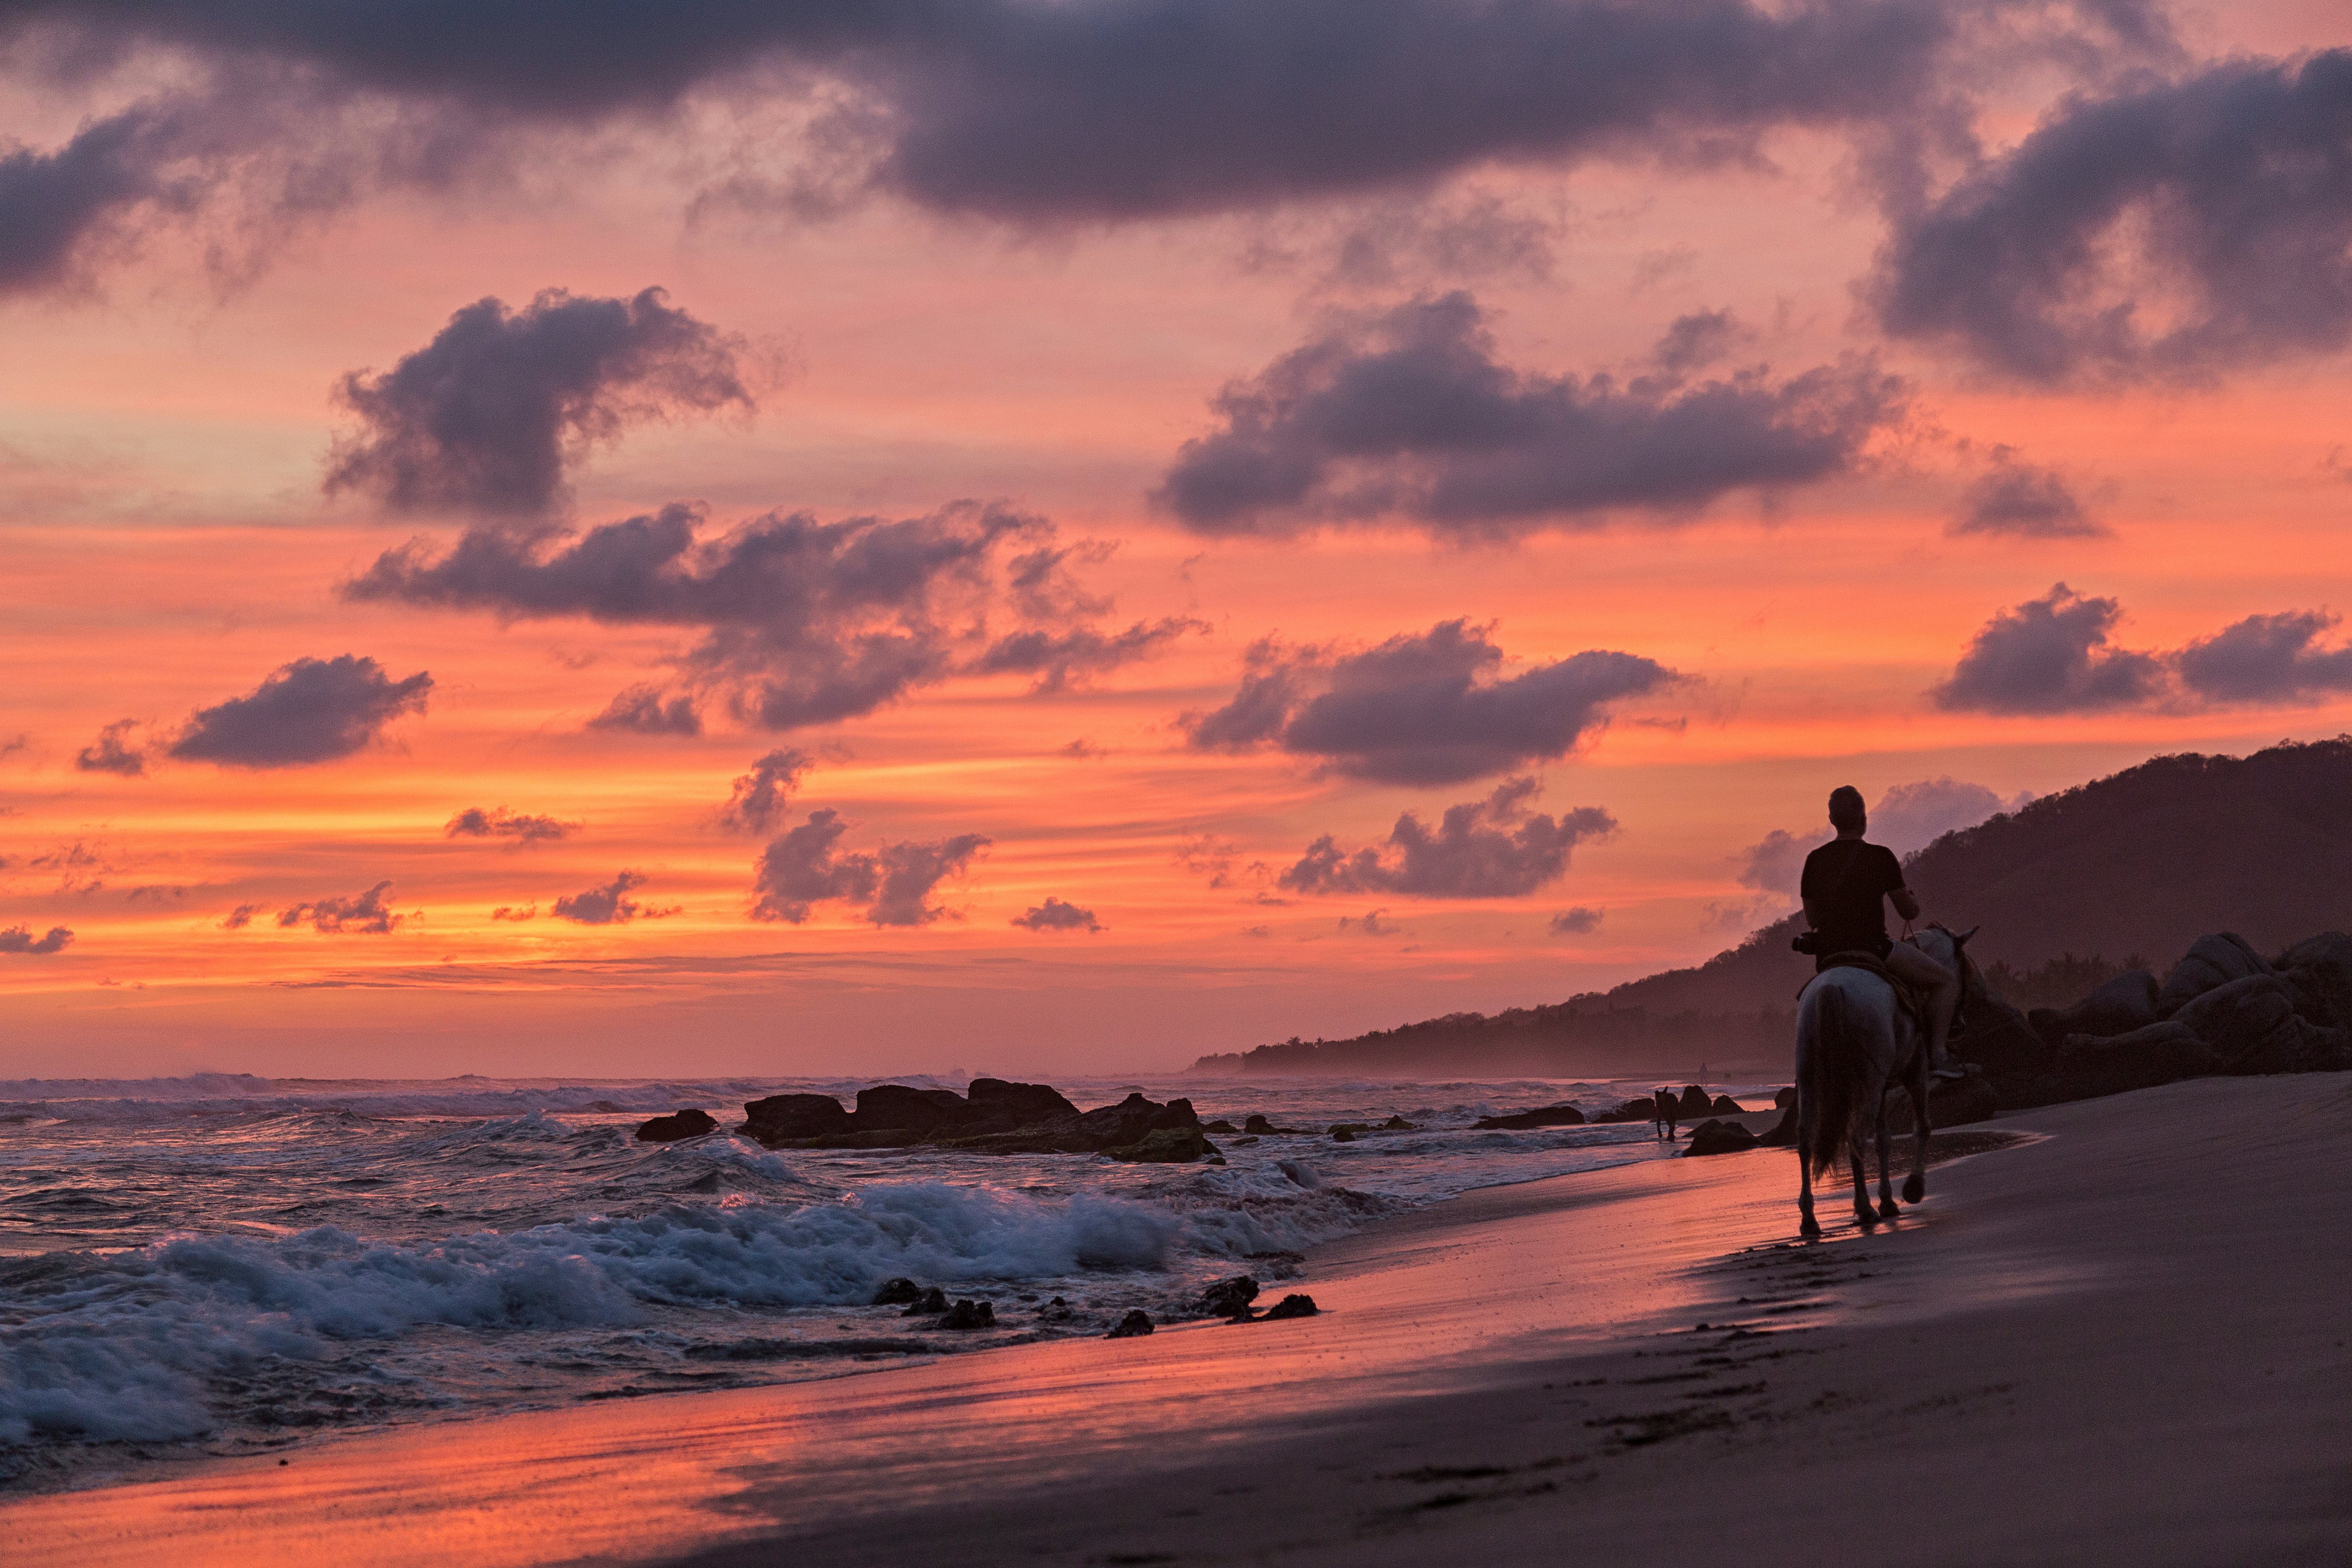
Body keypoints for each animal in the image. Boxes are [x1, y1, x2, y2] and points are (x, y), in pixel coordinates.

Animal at [1787, 921, 1975, 1241]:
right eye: (1963, 970)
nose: (1960, 1025)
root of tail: (1831, 988)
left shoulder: (1884, 1087)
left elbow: (1884, 1139)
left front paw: (1888, 1200)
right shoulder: (1916, 1071)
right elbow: (1922, 1127)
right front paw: (1912, 1188)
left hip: (1812, 1080)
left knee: (1804, 1138)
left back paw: (1810, 1219)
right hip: (1869, 1081)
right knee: (1855, 1136)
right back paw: (1863, 1208)